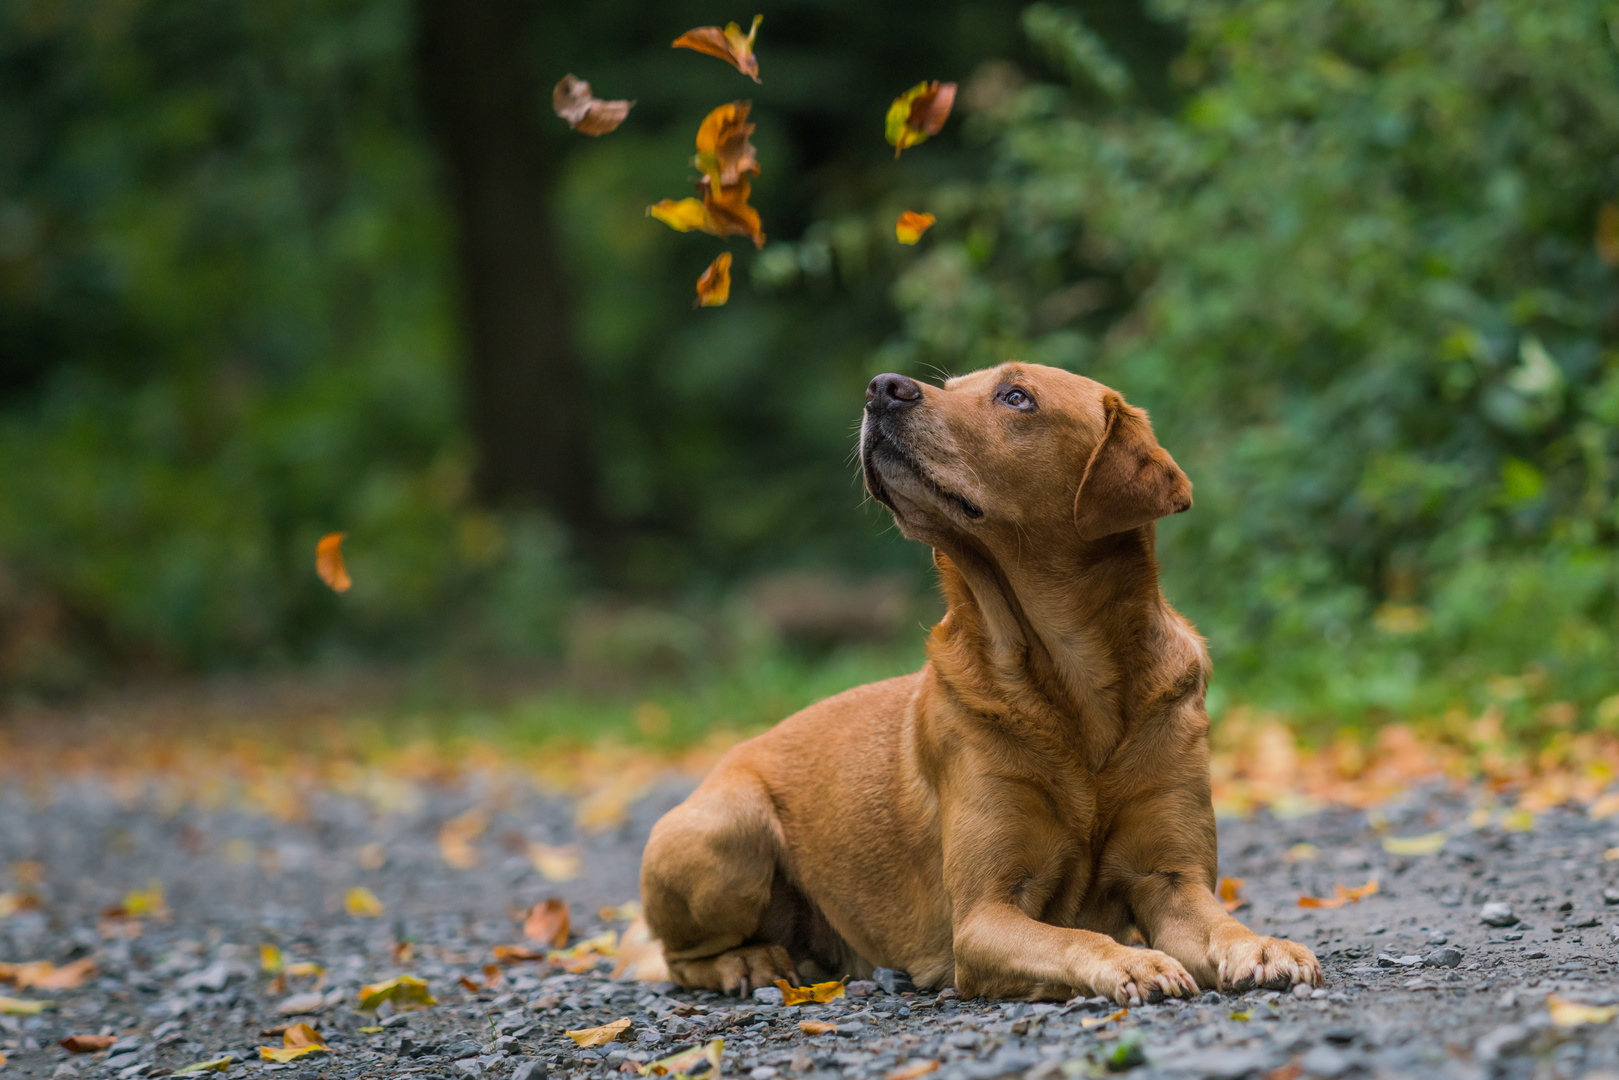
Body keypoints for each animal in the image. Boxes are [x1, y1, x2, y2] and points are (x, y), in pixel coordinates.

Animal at [637, 365, 1321, 1003]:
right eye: (955, 383)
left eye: (1016, 397)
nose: (882, 386)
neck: (1074, 683)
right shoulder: (983, 914)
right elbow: (1076, 937)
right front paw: (1133, 962)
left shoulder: (1171, 880)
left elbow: (1219, 924)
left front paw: (1265, 946)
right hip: (729, 833)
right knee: (680, 958)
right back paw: (749, 962)